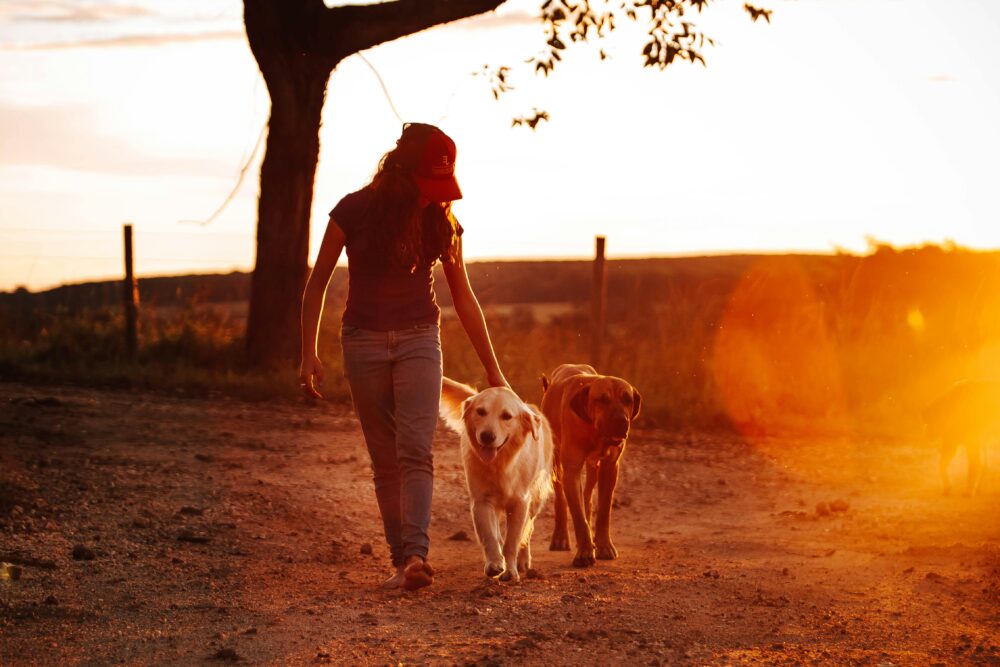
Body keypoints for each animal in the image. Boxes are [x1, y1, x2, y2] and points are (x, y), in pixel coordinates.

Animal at [540, 366, 640, 568]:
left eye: (628, 399)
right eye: (602, 399)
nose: (622, 421)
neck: (594, 429)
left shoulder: (610, 468)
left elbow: (603, 511)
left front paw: (603, 546)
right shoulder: (571, 470)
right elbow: (577, 515)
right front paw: (585, 552)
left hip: (593, 468)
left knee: (587, 495)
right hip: (556, 466)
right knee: (561, 500)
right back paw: (560, 537)